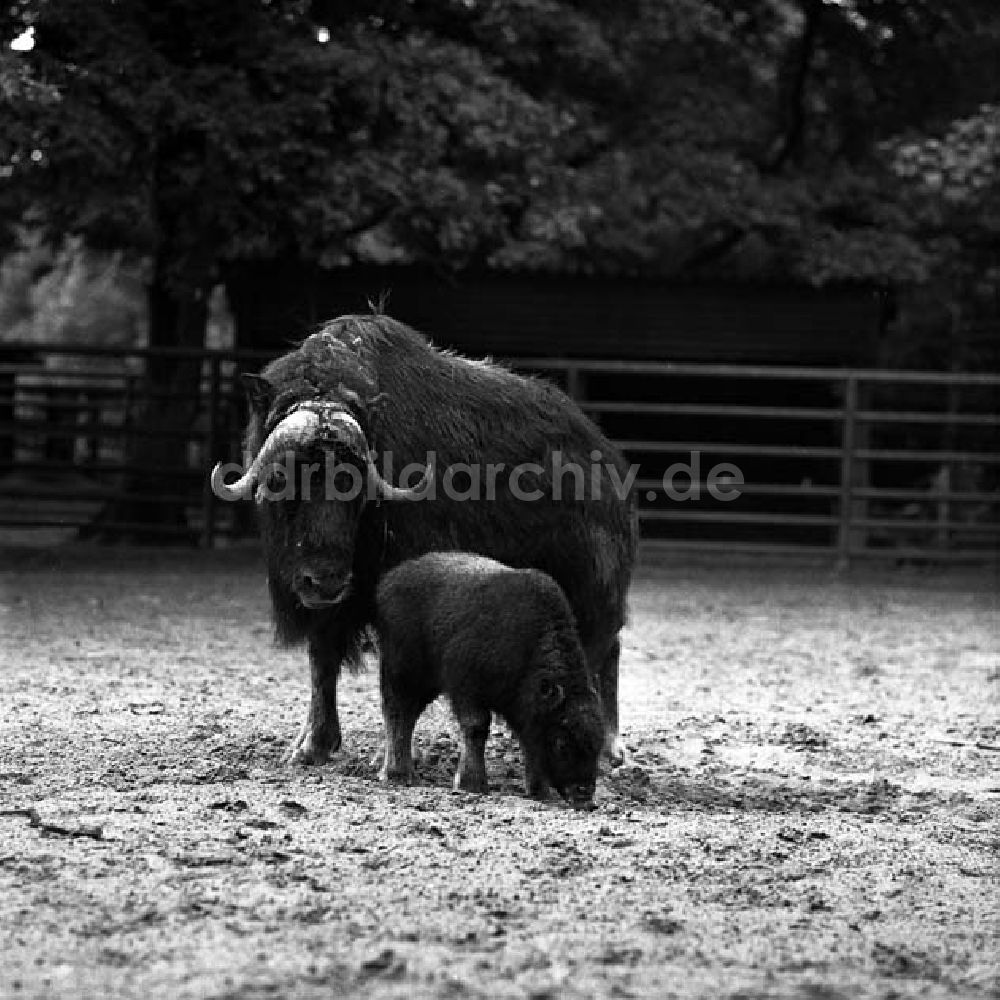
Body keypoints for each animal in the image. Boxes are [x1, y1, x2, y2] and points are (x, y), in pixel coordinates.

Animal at [374, 552, 600, 808]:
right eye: (562, 745)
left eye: (598, 743)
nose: (583, 794)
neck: (530, 646)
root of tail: (392, 578)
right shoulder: (467, 690)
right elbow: (476, 727)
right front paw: (471, 784)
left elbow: (528, 742)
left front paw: (541, 792)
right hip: (405, 674)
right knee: (398, 713)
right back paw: (398, 774)